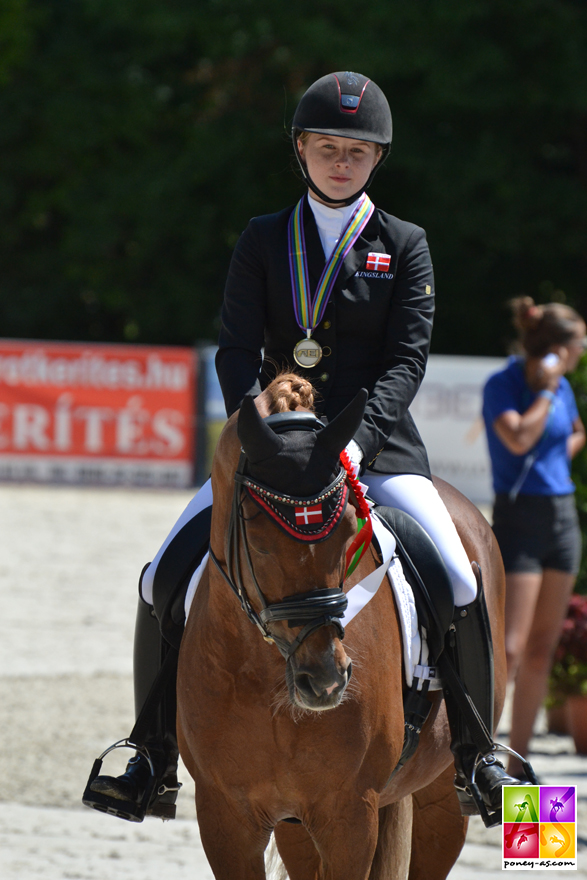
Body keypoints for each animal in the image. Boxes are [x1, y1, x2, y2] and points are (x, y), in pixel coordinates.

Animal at [177, 378, 508, 880]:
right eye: (257, 539)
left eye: (350, 529)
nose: (326, 681)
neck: (266, 677)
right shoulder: (224, 816)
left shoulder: (350, 815)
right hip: (295, 824)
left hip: (441, 797)